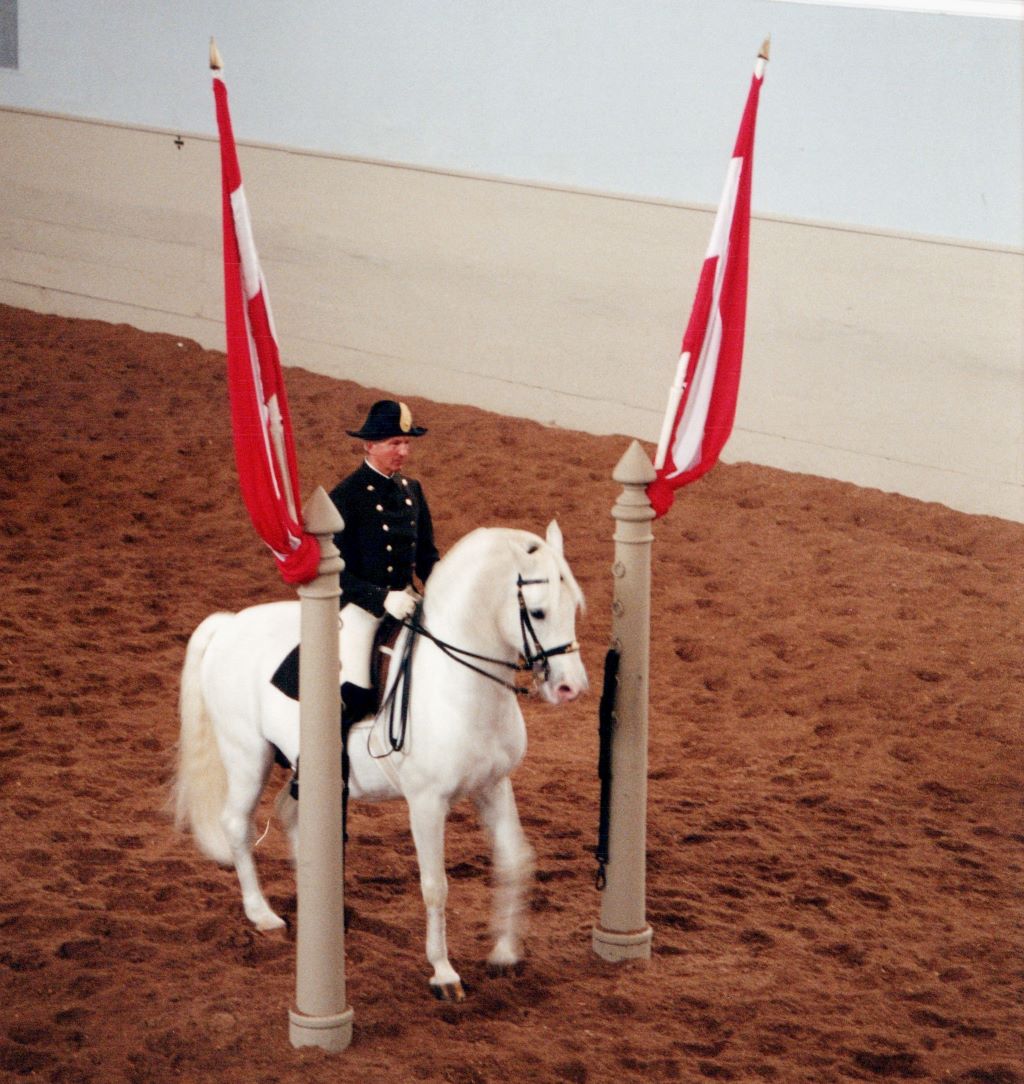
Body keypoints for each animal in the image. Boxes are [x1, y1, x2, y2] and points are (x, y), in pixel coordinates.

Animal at [172, 520, 587, 1001]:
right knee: (237, 825)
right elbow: (435, 886)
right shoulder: (426, 803)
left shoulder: (492, 786)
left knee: (292, 819)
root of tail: (230, 625)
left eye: (574, 606)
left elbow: (516, 860)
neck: (458, 684)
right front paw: (443, 973)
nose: (569, 688)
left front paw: (504, 952)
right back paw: (263, 916)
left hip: (307, 769)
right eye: (537, 613)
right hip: (247, 757)